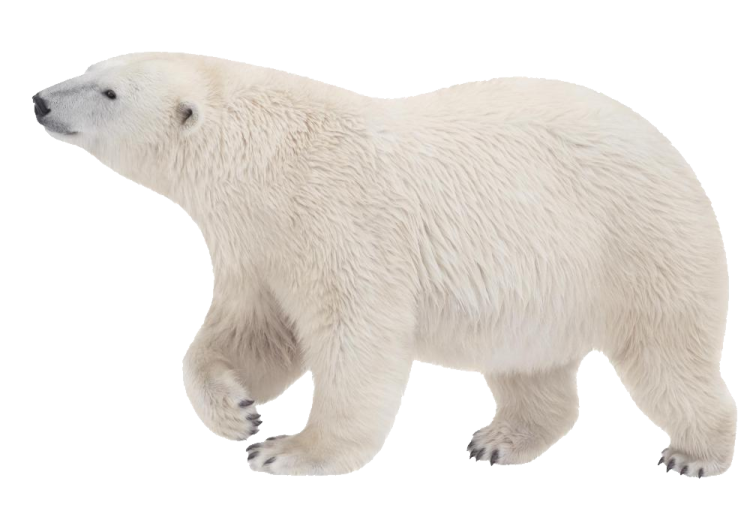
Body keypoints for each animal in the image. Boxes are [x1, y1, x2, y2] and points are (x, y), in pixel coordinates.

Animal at [33, 51, 735, 477]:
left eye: (108, 91)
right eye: (93, 68)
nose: (41, 99)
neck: (266, 157)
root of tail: (673, 151)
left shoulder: (337, 219)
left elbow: (356, 338)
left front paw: (288, 450)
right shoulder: (257, 244)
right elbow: (252, 332)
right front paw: (236, 410)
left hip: (638, 243)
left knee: (668, 355)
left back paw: (695, 452)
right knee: (528, 365)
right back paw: (498, 440)